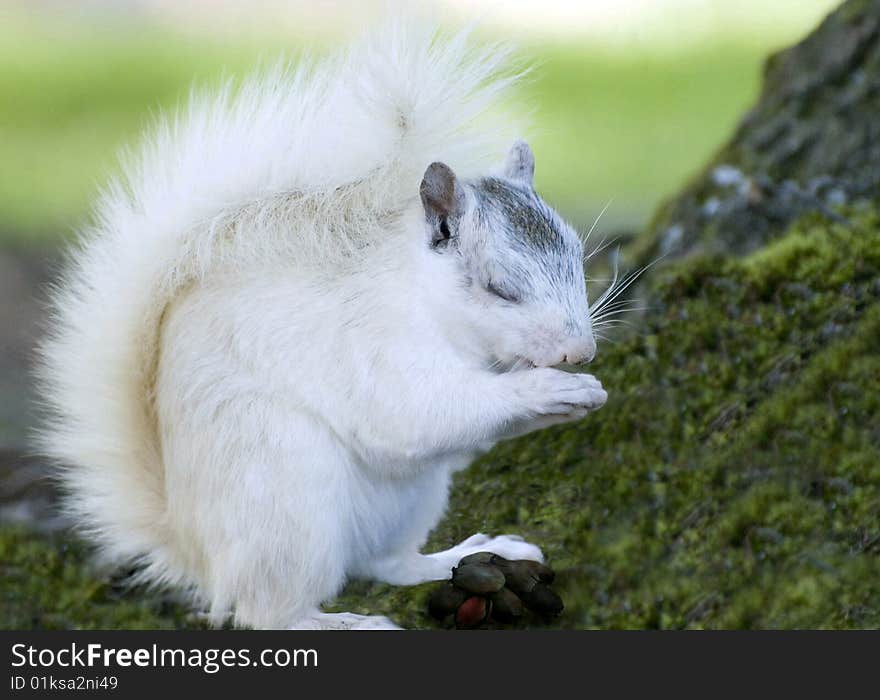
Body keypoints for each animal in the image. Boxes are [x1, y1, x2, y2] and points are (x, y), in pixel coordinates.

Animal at [37, 20, 608, 628]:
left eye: (578, 254)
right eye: (500, 287)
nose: (578, 352)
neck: (424, 296)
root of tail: (195, 551)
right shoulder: (375, 344)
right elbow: (415, 413)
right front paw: (550, 389)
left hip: (411, 500)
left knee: (386, 563)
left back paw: (464, 556)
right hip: (283, 500)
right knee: (268, 611)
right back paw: (343, 621)